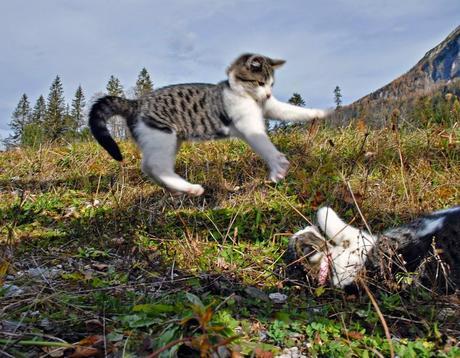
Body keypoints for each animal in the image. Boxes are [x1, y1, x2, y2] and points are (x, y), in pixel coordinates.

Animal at [88, 53, 328, 196]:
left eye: (271, 85)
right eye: (260, 82)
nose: (268, 94)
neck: (241, 92)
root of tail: (135, 103)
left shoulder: (269, 108)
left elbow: (290, 111)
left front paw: (320, 112)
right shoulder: (249, 126)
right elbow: (265, 146)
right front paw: (278, 168)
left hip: (166, 140)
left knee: (149, 167)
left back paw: (177, 190)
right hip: (162, 136)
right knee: (156, 166)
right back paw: (192, 188)